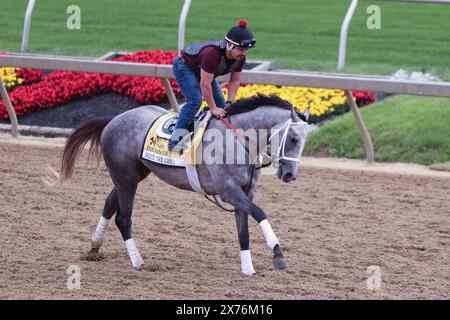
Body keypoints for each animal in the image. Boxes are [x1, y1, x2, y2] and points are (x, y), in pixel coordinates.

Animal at [49, 93, 310, 276]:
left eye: (303, 141)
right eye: (293, 139)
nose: (290, 174)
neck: (237, 140)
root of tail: (113, 120)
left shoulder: (245, 192)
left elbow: (243, 229)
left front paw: (247, 268)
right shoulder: (228, 190)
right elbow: (260, 213)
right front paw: (277, 253)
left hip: (132, 175)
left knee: (108, 204)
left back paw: (94, 247)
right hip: (126, 177)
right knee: (123, 218)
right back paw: (137, 261)